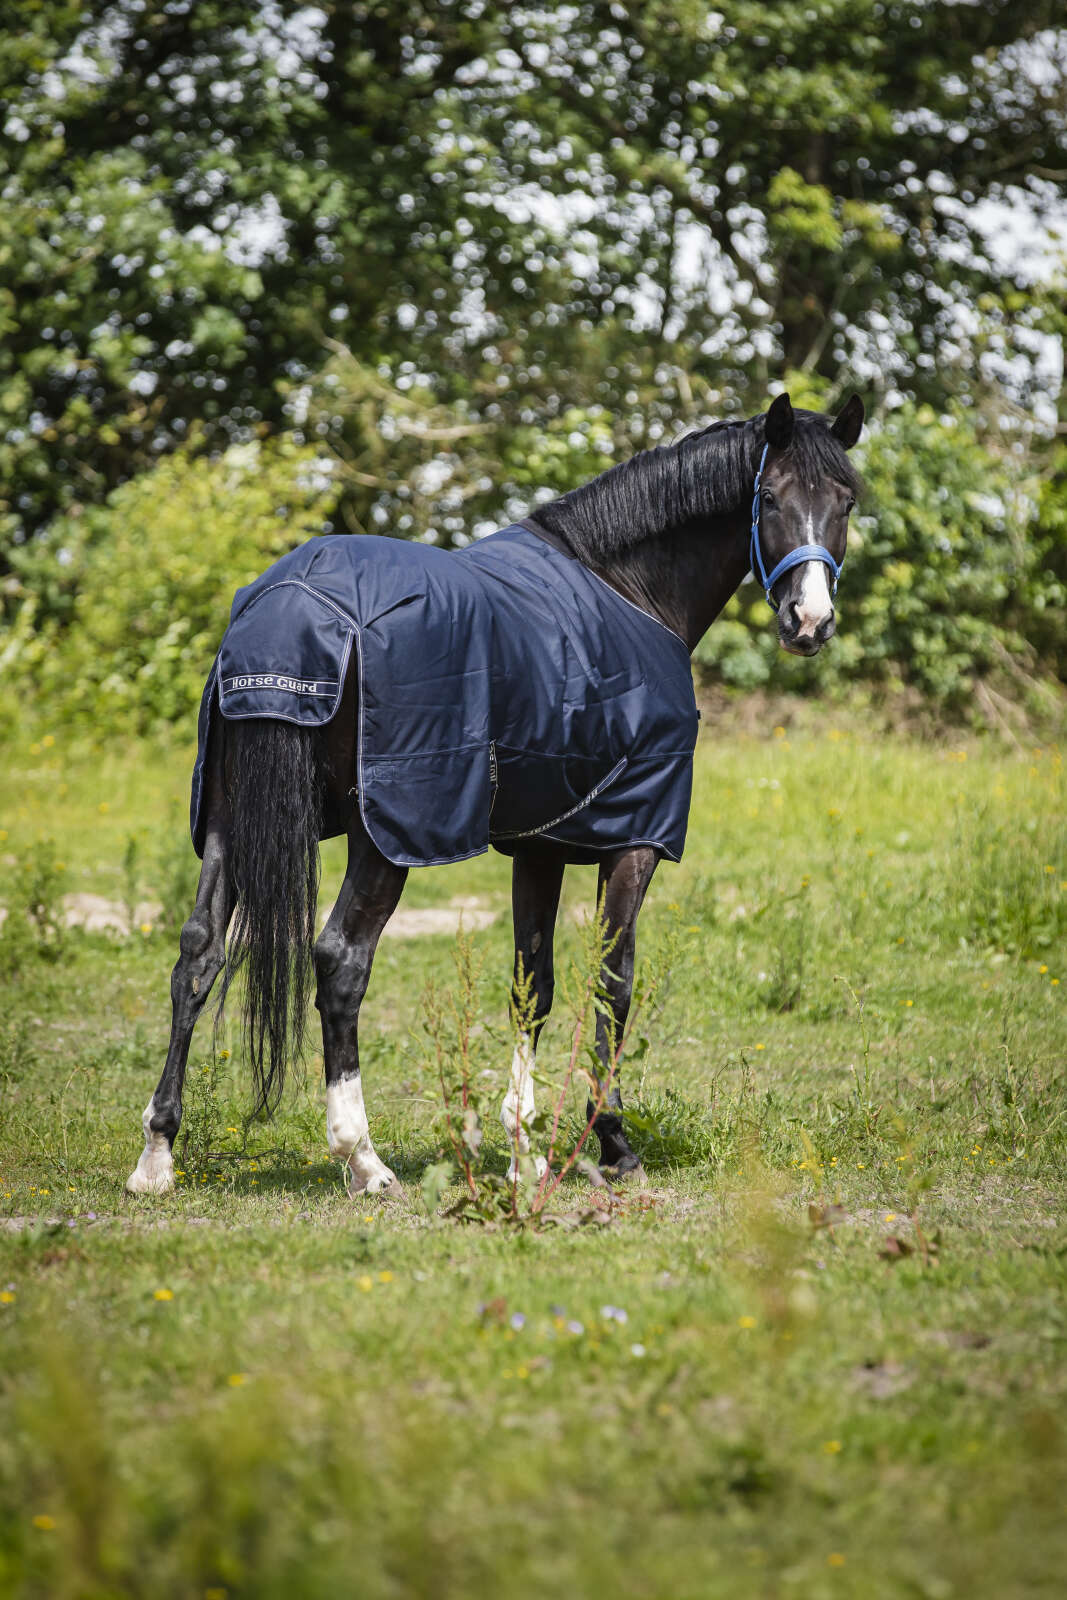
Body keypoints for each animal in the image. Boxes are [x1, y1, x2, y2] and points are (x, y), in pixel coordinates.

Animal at [126, 389, 864, 1198]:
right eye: (769, 498)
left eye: (846, 501)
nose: (809, 621)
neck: (627, 588)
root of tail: (291, 609)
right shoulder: (636, 839)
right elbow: (612, 979)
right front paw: (611, 1142)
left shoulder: (542, 843)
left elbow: (531, 984)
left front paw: (523, 1147)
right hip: (385, 836)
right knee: (340, 961)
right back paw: (363, 1158)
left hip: (230, 819)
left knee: (196, 957)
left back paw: (158, 1155)